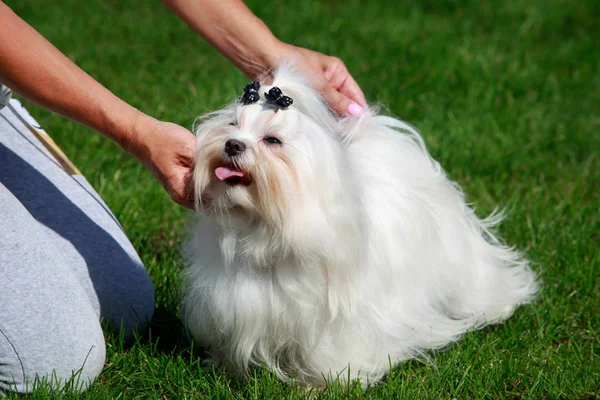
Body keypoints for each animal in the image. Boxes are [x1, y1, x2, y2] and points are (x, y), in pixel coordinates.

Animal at [183, 67, 540, 386]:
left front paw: (321, 384)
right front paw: (223, 365)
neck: (262, 226)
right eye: (233, 125)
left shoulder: (332, 322)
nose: (232, 144)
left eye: (273, 140)